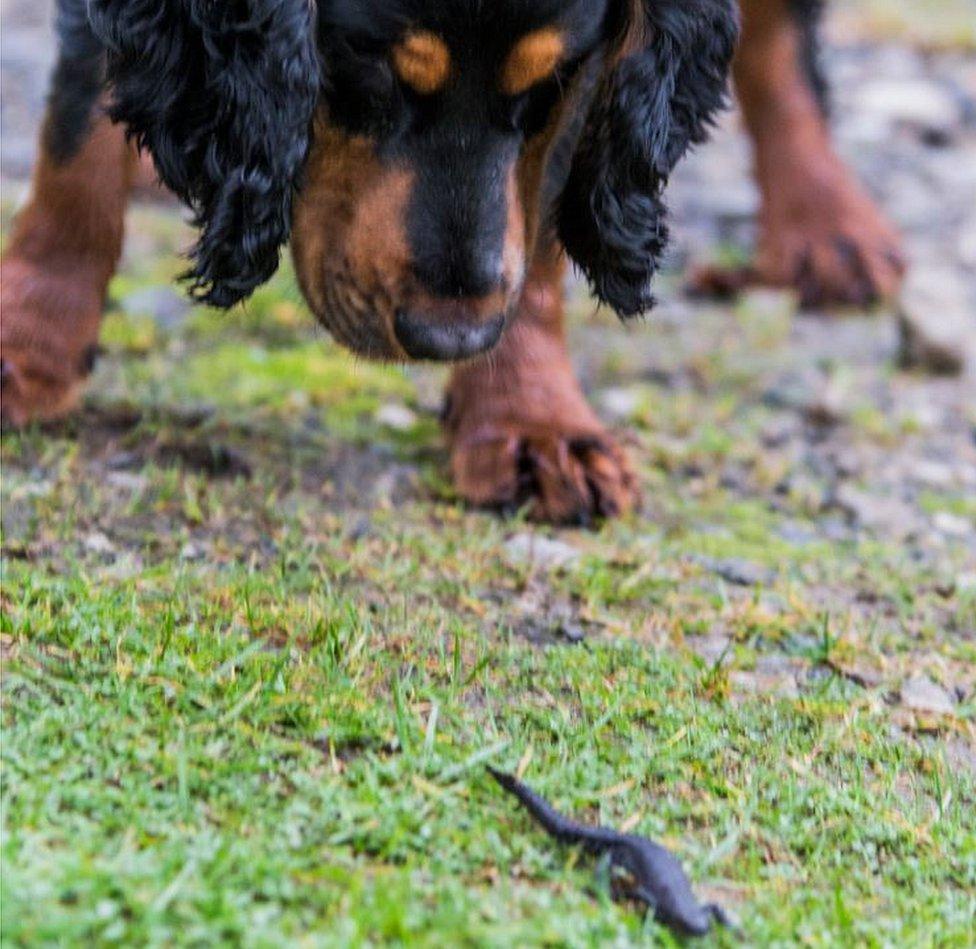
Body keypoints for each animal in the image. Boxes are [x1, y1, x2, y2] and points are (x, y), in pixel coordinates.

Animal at [0, 0, 904, 524]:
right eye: (367, 64)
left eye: (554, 76)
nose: (451, 338)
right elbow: (78, 134)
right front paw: (31, 341)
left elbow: (540, 211)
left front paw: (532, 418)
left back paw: (823, 222)